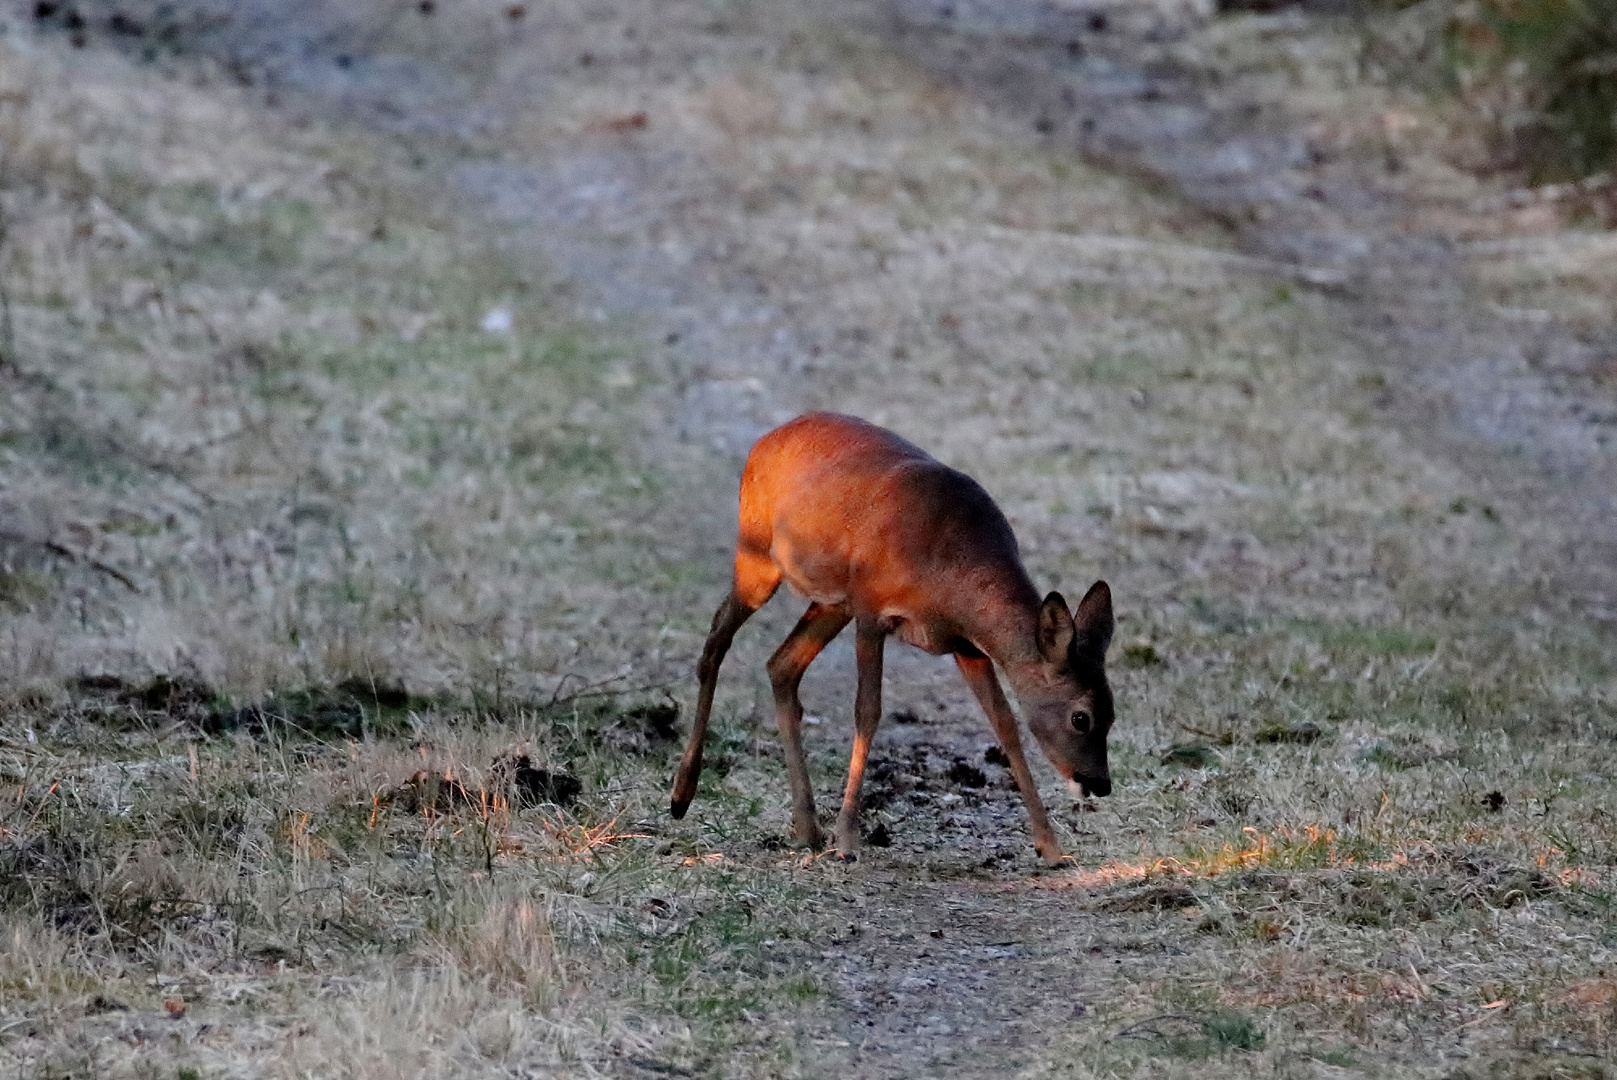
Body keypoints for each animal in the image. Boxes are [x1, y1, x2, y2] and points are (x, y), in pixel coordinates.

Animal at [669, 409, 1112, 866]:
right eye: (1081, 717)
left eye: (1112, 713)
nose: (1099, 783)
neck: (949, 568)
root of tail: (768, 438)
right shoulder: (871, 610)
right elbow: (868, 711)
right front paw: (848, 839)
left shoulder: (965, 645)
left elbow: (1004, 723)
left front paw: (1051, 847)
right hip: (757, 557)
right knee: (716, 639)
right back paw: (681, 795)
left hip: (832, 602)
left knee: (782, 664)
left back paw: (807, 829)